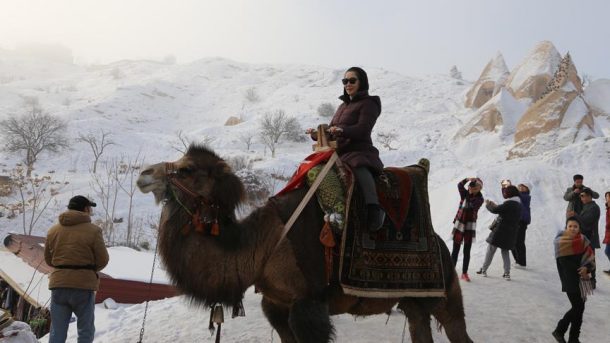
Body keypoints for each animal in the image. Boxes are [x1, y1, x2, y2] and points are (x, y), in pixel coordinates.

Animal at [137, 146, 470, 343]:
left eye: (187, 169)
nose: (144, 174)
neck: (264, 245)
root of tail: (441, 242)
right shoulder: (276, 306)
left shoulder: (308, 304)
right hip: (414, 302)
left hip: (444, 289)